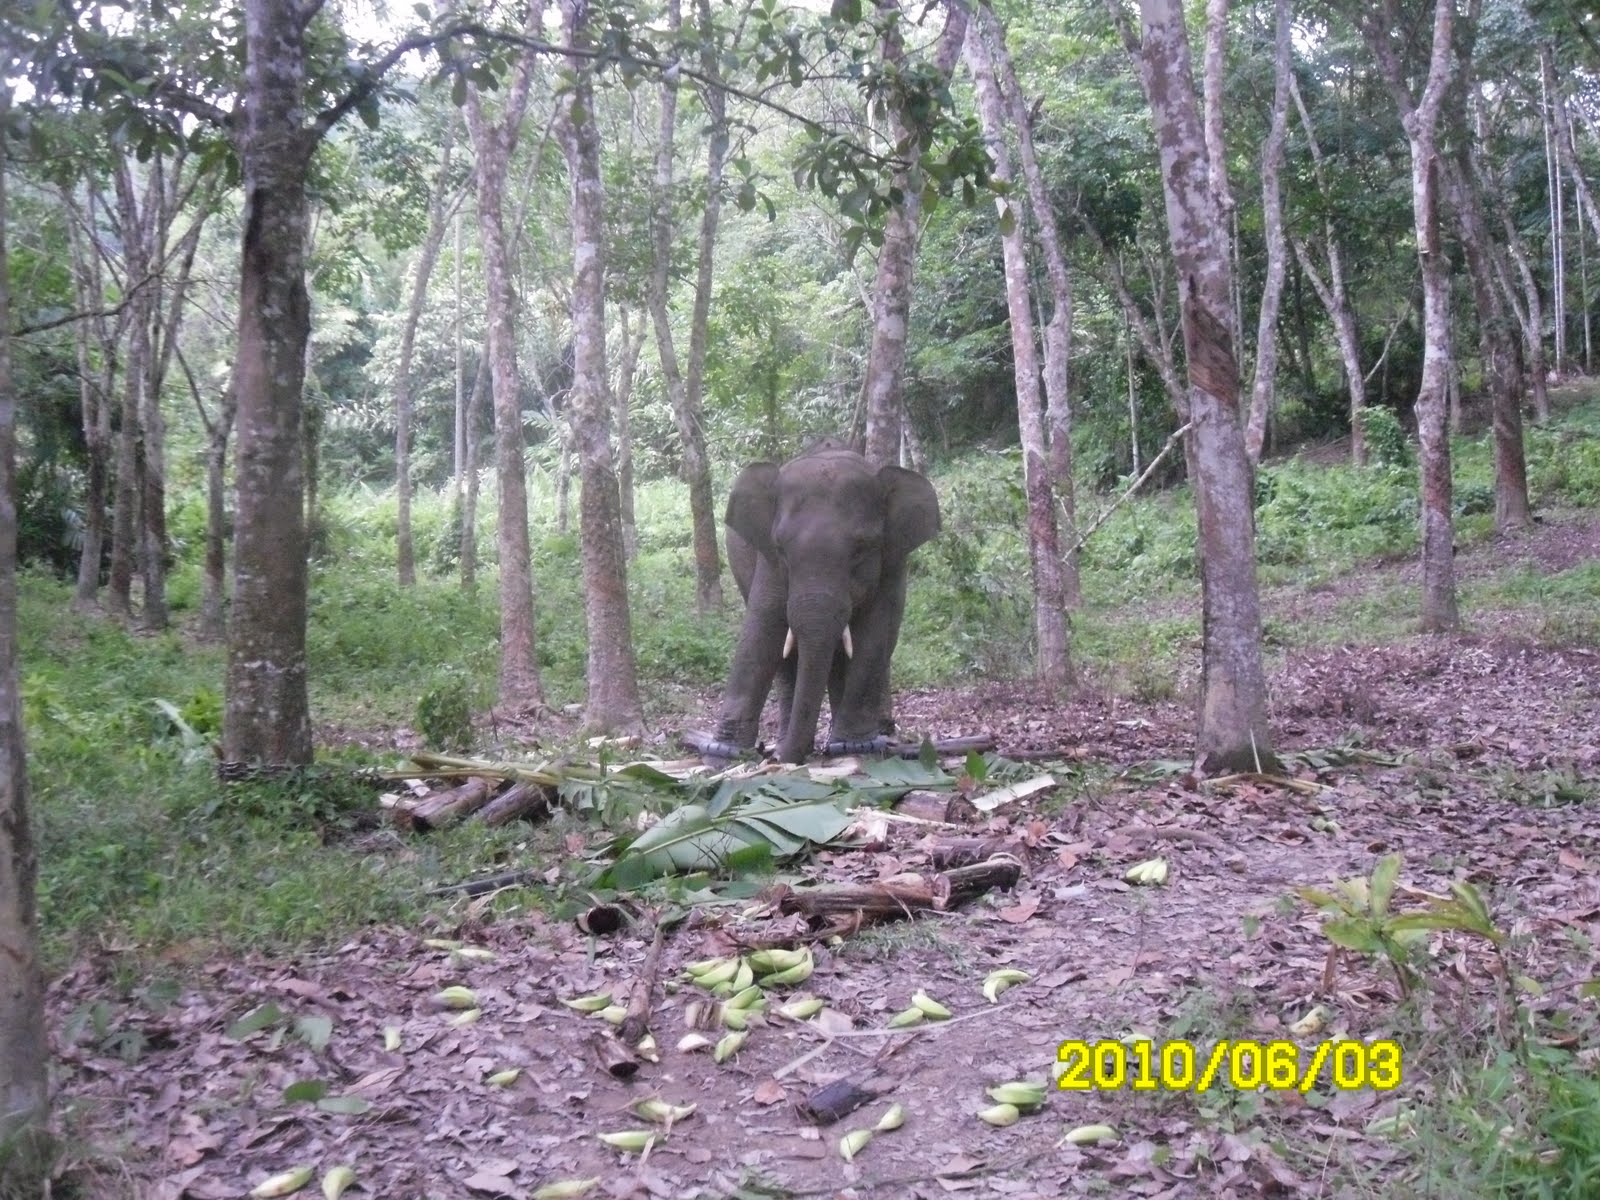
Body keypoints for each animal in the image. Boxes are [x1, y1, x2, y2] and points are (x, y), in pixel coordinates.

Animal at [707, 438, 940, 764]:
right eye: (780, 547)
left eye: (862, 548)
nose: (776, 759)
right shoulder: (768, 561)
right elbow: (762, 628)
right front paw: (723, 754)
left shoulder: (893, 561)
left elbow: (876, 634)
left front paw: (855, 747)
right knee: (786, 663)